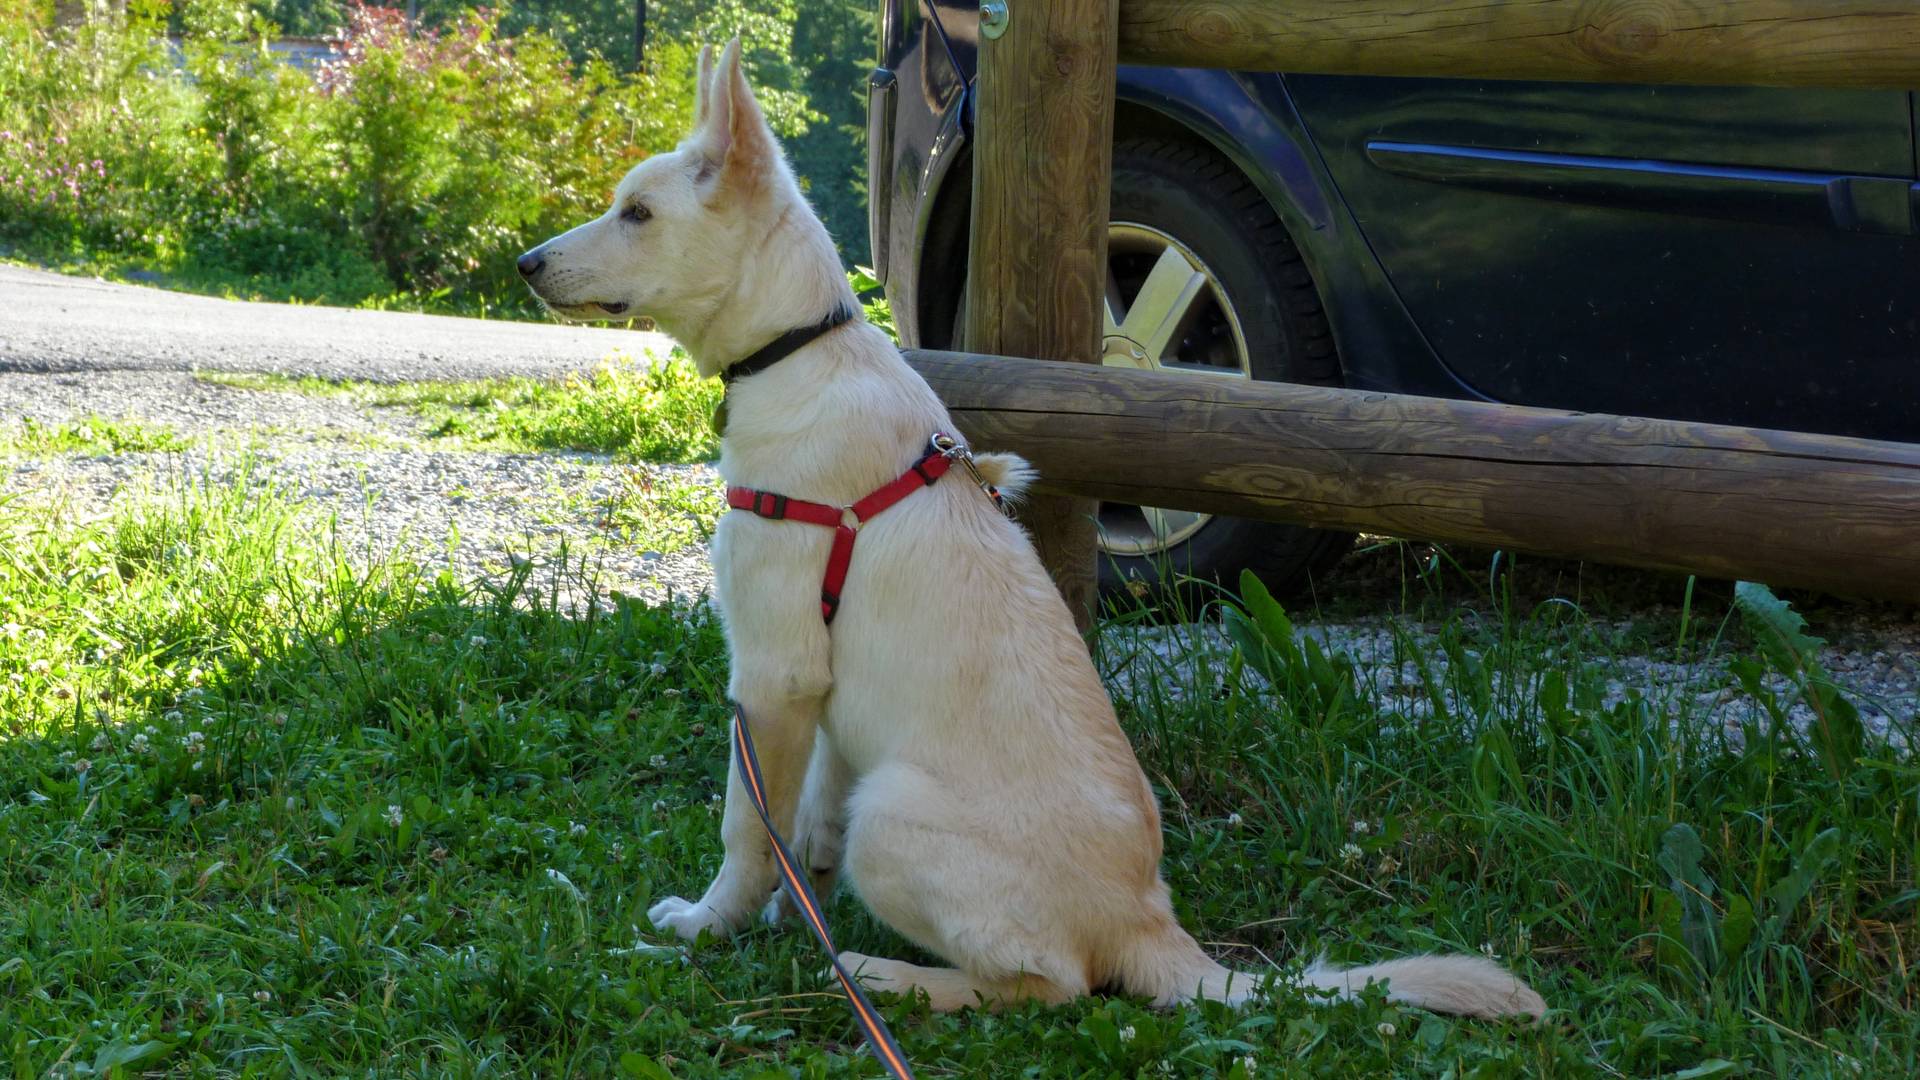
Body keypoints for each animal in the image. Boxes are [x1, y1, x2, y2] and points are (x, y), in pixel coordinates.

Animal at [522, 42, 1543, 1014]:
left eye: (638, 214)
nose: (526, 265)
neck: (801, 352)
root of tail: (1148, 924)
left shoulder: (773, 673)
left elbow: (746, 820)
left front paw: (708, 925)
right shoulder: (823, 699)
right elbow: (800, 821)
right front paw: (785, 912)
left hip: (890, 814)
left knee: (1051, 983)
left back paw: (884, 975)